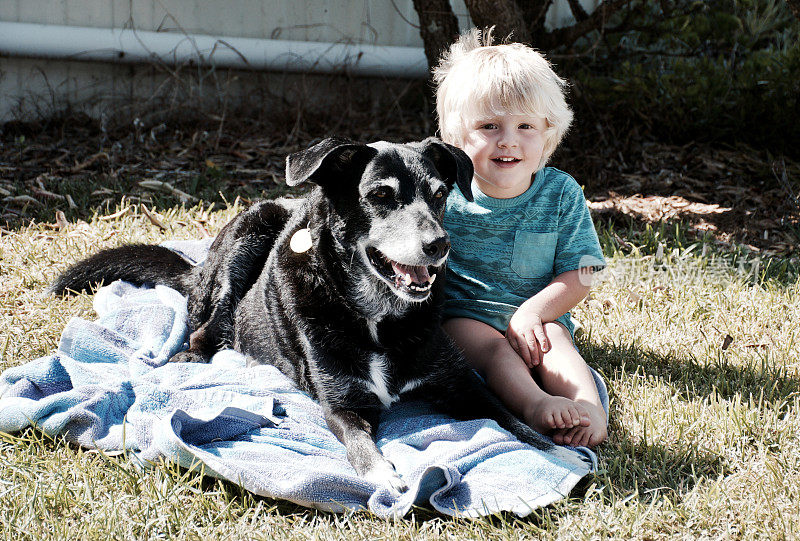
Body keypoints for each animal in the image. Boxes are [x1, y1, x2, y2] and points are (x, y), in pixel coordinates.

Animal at [51, 137, 564, 492]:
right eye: (381, 196)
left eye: (439, 195)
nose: (439, 245)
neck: (378, 315)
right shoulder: (341, 403)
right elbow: (360, 445)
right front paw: (384, 475)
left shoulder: (461, 385)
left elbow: (513, 421)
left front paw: (561, 451)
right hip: (247, 236)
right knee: (204, 330)